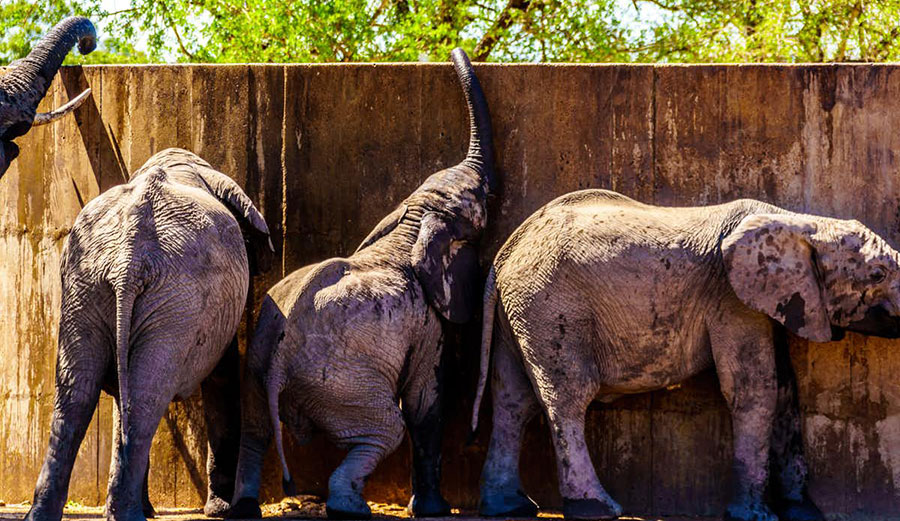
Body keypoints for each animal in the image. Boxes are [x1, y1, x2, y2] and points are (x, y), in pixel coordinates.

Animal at [26, 148, 273, 521]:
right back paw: (129, 514)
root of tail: (129, 254)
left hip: (87, 285)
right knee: (145, 396)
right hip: (176, 295)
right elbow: (222, 379)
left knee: (78, 394)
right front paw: (221, 510)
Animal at [226, 48, 495, 520]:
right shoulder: (425, 321)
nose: (453, 53)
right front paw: (435, 510)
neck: (411, 223)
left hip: (257, 369)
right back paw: (350, 507)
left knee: (254, 431)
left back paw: (246, 508)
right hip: (341, 382)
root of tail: (278, 366)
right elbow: (425, 401)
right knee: (386, 429)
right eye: (482, 196)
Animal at [470, 190, 900, 521]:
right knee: (568, 396)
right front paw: (755, 517)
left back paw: (510, 508)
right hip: (551, 308)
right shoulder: (731, 299)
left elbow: (784, 389)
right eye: (877, 275)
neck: (798, 222)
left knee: (512, 401)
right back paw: (596, 508)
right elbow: (753, 391)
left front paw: (804, 513)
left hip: (520, 313)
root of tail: (505, 253)